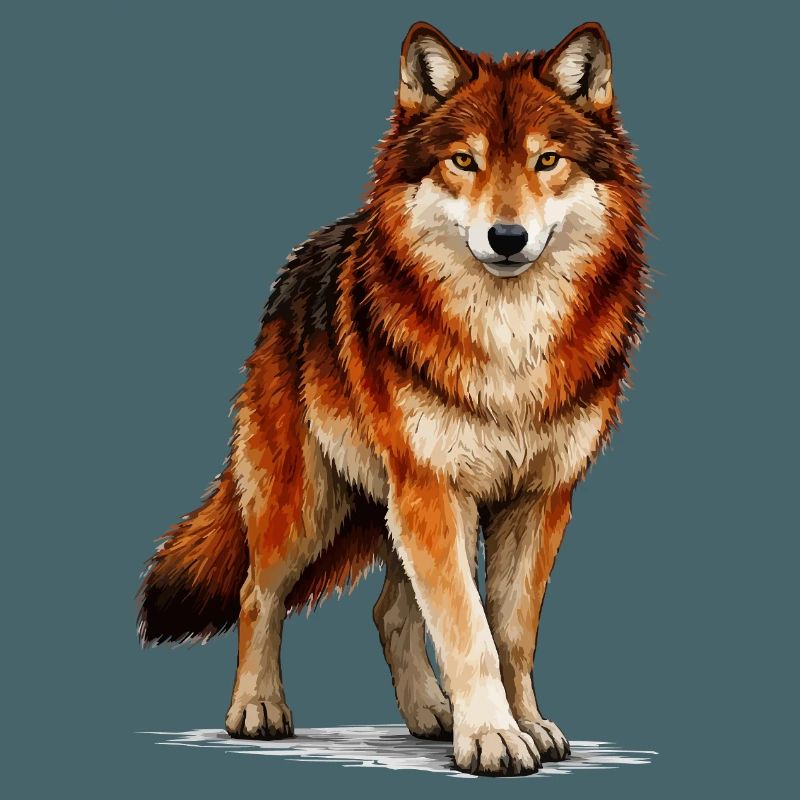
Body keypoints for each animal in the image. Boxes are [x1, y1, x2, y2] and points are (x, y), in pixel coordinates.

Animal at [138, 20, 646, 776]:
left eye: (547, 160)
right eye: (463, 162)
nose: (507, 238)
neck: (510, 342)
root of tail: (302, 262)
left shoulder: (540, 499)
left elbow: (511, 634)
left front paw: (526, 725)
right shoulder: (433, 489)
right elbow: (470, 632)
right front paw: (493, 737)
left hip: (400, 509)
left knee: (389, 611)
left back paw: (431, 715)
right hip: (312, 504)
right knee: (259, 592)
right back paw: (257, 710)